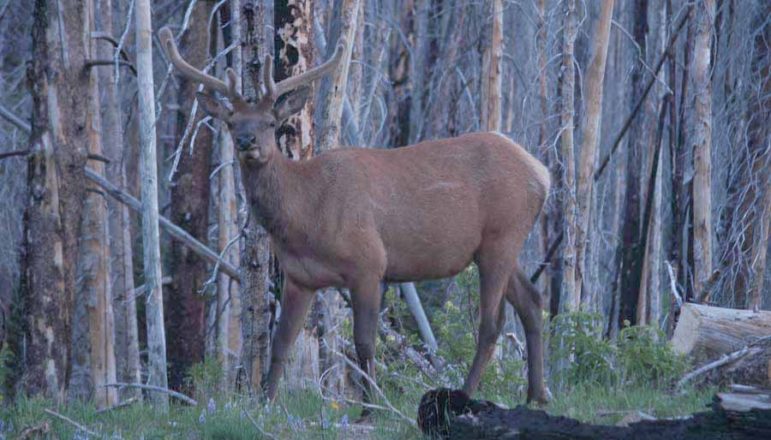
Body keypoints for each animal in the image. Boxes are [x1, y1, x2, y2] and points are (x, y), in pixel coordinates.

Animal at [160, 28, 552, 410]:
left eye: (271, 122)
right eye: (231, 122)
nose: (246, 141)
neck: (305, 216)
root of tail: (542, 173)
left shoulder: (368, 263)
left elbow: (364, 343)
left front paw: (371, 408)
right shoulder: (299, 277)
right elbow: (281, 343)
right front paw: (265, 405)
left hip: (501, 235)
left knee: (491, 323)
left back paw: (466, 394)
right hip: (499, 245)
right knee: (532, 301)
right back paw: (536, 395)